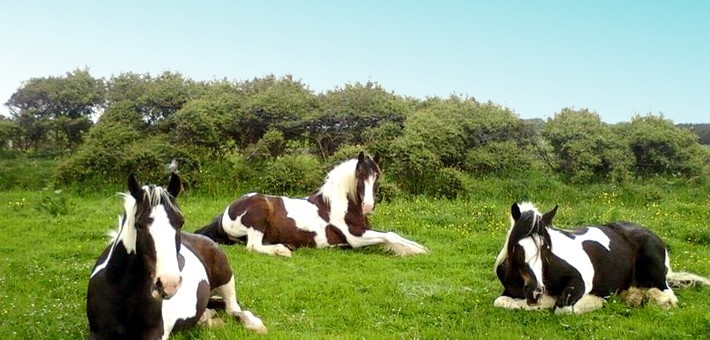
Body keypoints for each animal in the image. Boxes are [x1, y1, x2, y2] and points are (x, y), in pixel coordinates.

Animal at [86, 174, 268, 338]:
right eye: (139, 224)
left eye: (180, 222)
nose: (168, 284)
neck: (124, 293)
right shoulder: (97, 333)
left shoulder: (155, 333)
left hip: (226, 279)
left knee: (232, 308)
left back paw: (253, 323)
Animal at [195, 153, 428, 256]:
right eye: (360, 176)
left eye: (377, 177)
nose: (368, 206)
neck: (339, 206)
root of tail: (225, 213)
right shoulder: (356, 237)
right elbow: (390, 236)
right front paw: (416, 250)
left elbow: (392, 236)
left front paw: (418, 248)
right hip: (259, 212)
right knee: (253, 246)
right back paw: (282, 250)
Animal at [496, 201, 710, 314]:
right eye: (516, 247)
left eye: (546, 247)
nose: (535, 292)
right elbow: (501, 302)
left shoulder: (579, 281)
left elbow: (561, 307)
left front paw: (595, 301)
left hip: (655, 271)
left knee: (667, 294)